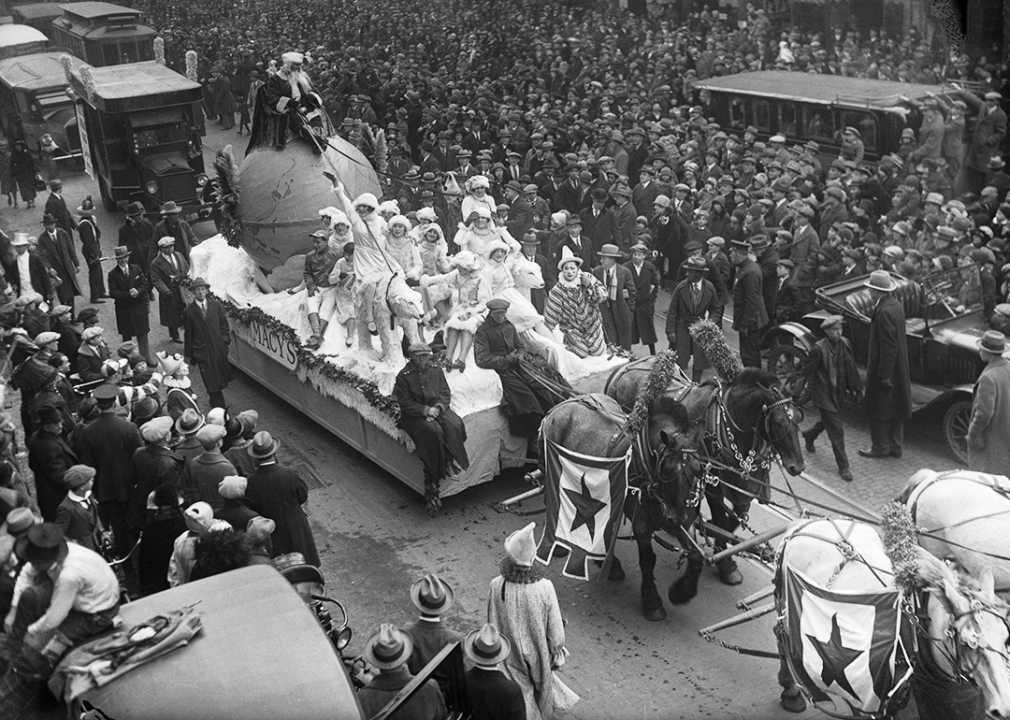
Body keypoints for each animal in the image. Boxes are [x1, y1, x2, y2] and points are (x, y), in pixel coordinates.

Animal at [537, 389, 702, 622]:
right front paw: (652, 602)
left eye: (697, 470)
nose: (678, 517)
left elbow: (696, 555)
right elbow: (648, 559)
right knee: (553, 502)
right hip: (553, 471)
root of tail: (560, 406)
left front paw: (681, 592)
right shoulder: (642, 523)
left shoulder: (680, 522)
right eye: (668, 469)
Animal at [606, 359, 803, 605]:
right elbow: (719, 517)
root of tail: (624, 367)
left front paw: (717, 543)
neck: (726, 424)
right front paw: (725, 563)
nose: (798, 466)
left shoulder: (741, 486)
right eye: (778, 422)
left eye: (799, 419)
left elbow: (733, 518)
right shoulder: (712, 484)